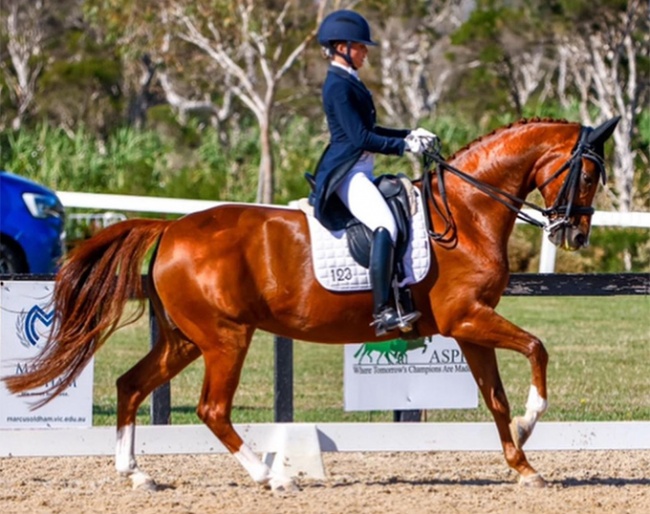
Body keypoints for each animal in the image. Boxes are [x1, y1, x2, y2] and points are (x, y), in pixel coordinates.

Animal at [1, 115, 616, 488]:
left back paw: (138, 475)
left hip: (185, 339)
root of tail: (171, 228)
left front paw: (523, 464)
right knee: (211, 409)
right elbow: (536, 349)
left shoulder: (468, 328)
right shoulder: (470, 317)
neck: (465, 213)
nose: (575, 235)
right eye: (587, 174)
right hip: (225, 338)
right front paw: (533, 426)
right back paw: (271, 475)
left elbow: (496, 400)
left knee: (131, 385)